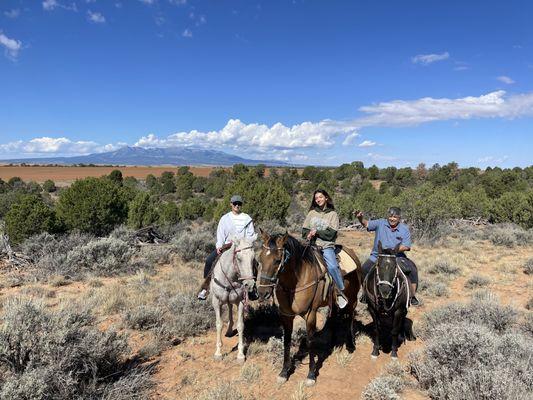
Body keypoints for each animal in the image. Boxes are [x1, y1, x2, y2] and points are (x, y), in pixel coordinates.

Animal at [255, 233, 362, 386]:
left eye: (277, 260)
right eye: (259, 259)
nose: (263, 293)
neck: (295, 281)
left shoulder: (310, 314)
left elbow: (310, 341)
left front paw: (311, 374)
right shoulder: (286, 316)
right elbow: (286, 341)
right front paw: (284, 372)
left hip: (352, 298)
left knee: (351, 317)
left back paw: (351, 345)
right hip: (334, 302)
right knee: (334, 318)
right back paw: (332, 343)